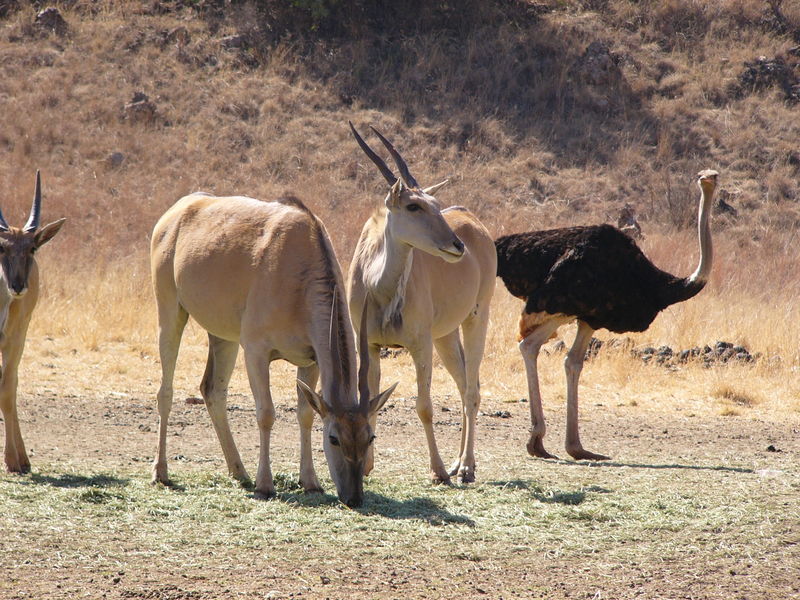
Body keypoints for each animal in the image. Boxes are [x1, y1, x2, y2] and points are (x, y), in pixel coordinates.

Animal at [149, 192, 394, 506]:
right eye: (334, 438)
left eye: (370, 436)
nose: (353, 497)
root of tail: (179, 209)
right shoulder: (256, 351)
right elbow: (266, 413)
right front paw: (264, 485)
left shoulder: (311, 360)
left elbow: (306, 414)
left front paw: (311, 482)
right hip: (171, 313)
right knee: (165, 391)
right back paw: (161, 472)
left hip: (224, 337)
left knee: (212, 390)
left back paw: (239, 471)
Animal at [348, 124, 496, 486]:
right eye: (414, 206)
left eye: (435, 203)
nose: (457, 246)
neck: (379, 287)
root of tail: (472, 220)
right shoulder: (369, 346)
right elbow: (370, 400)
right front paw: (367, 467)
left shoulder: (420, 344)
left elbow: (424, 406)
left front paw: (438, 471)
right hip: (445, 336)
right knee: (464, 384)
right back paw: (459, 463)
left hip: (476, 318)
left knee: (472, 390)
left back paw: (466, 467)